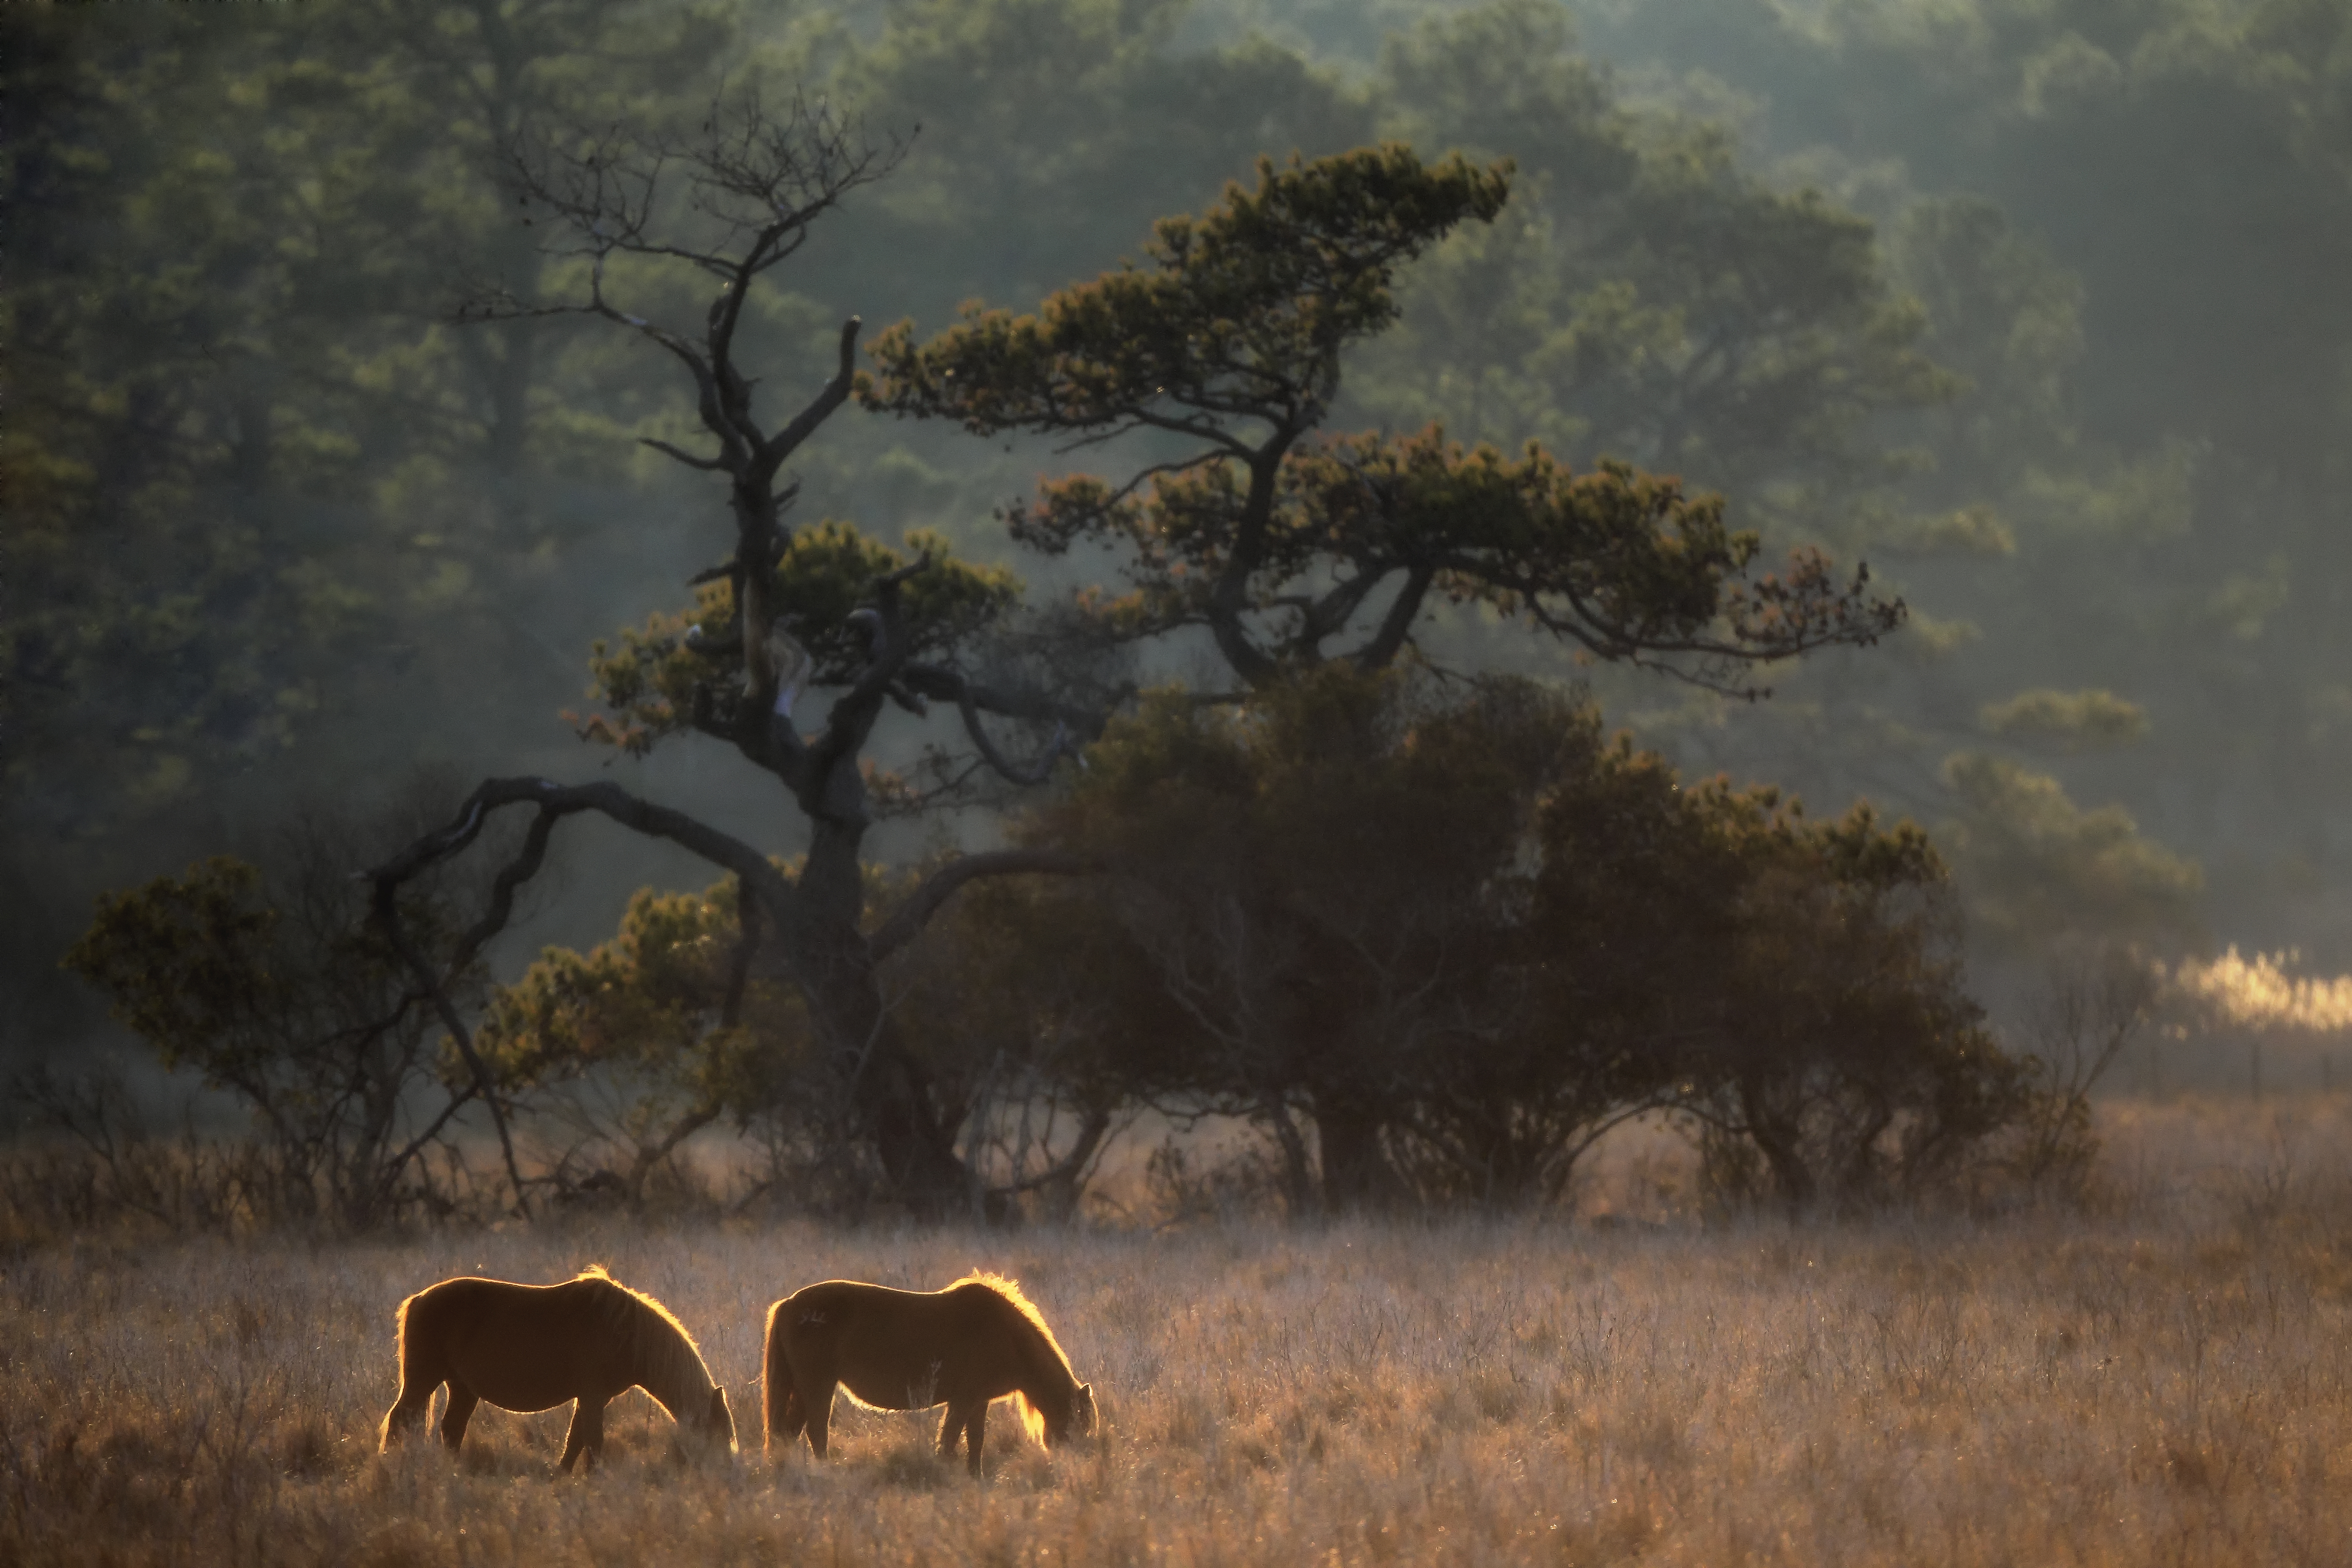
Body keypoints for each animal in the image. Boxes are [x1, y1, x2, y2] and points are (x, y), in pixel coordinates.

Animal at [378, 1265, 735, 1472]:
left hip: (463, 1388)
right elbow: (592, 1442)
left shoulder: (592, 1399)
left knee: (451, 1430)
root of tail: (417, 1299)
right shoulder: (593, 1396)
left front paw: (561, 1478)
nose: (727, 1473)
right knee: (399, 1421)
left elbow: (576, 1440)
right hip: (423, 1381)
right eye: (719, 1434)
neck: (626, 1331)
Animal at [762, 1273, 1097, 1475]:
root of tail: (788, 1304)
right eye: (1080, 1424)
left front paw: (975, 1478)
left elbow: (975, 1442)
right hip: (818, 1386)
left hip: (804, 1389)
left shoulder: (978, 1401)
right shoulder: (964, 1400)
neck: (1005, 1335)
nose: (1078, 1466)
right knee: (816, 1432)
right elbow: (949, 1442)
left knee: (787, 1432)